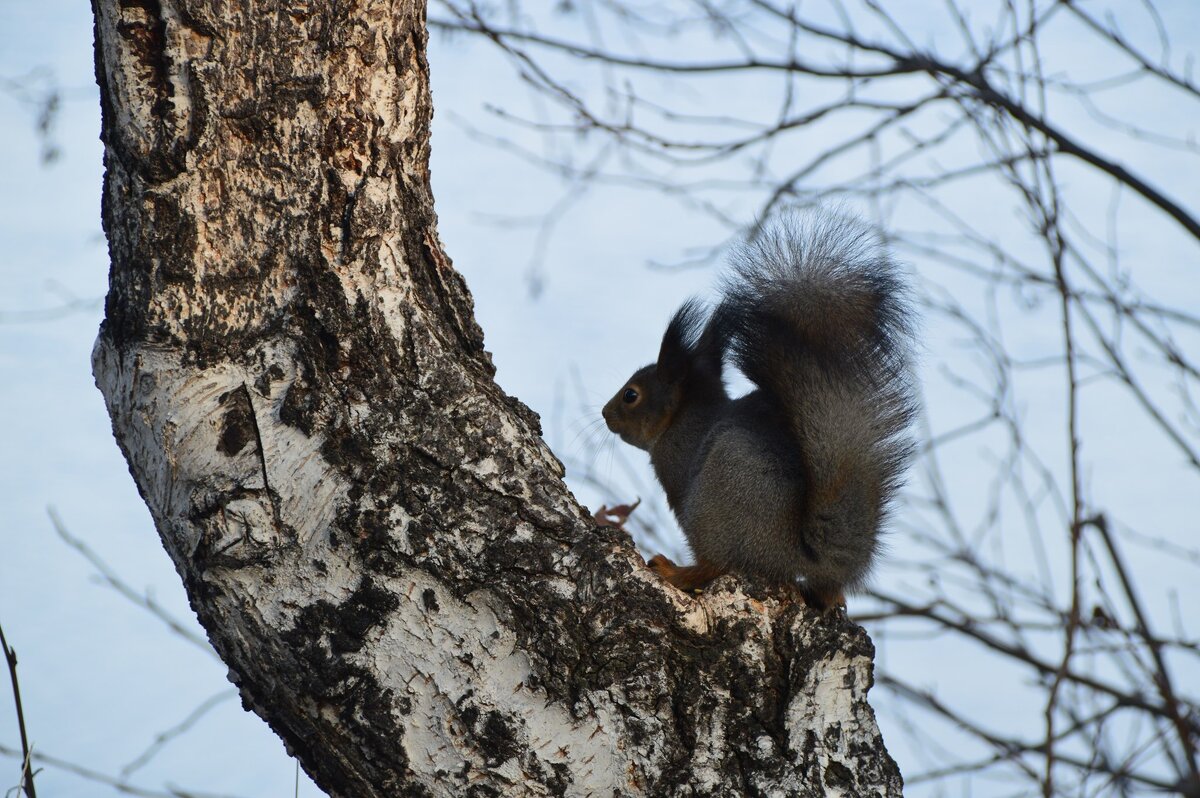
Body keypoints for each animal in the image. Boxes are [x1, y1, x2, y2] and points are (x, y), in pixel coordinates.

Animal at [604, 211, 912, 609]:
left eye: (631, 395)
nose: (604, 414)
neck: (686, 417)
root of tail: (799, 555)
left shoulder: (677, 464)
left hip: (715, 499)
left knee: (718, 563)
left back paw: (677, 572)